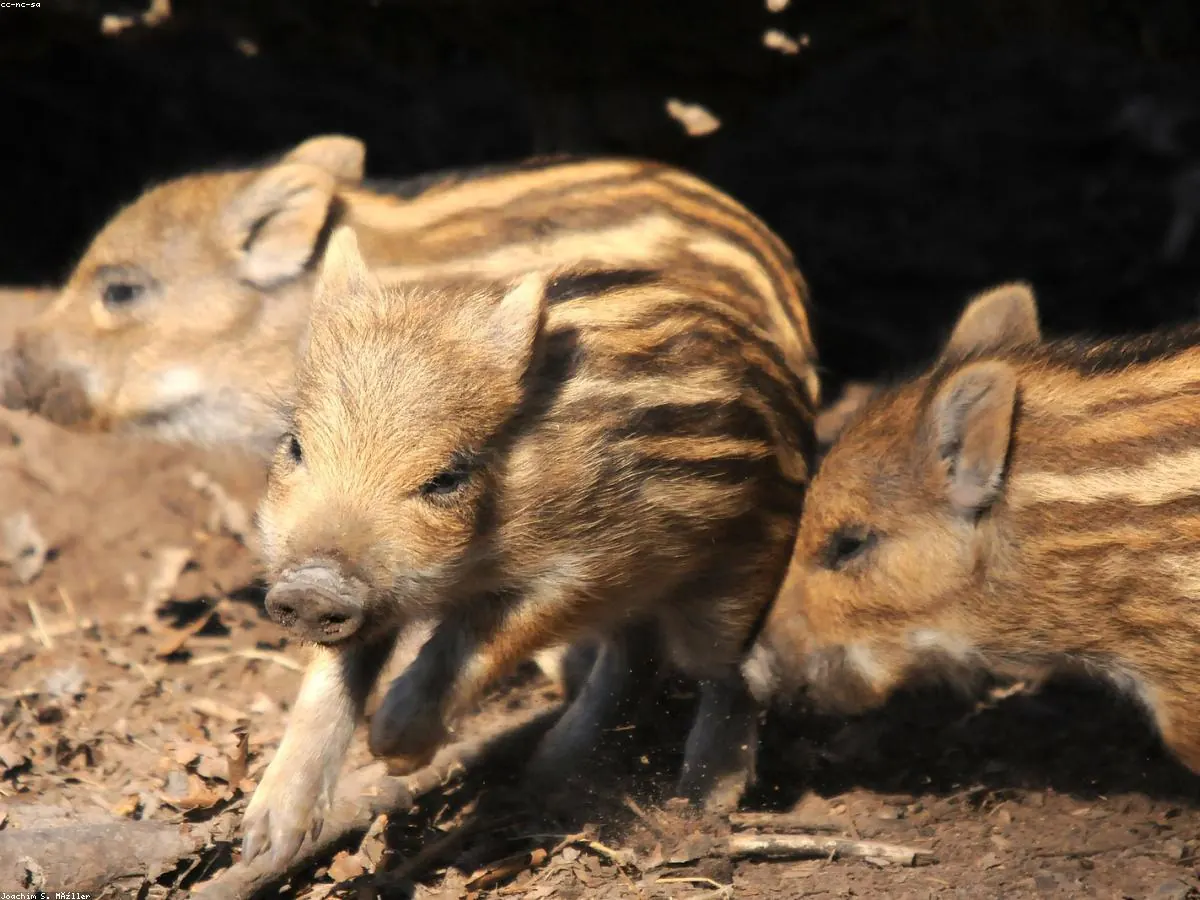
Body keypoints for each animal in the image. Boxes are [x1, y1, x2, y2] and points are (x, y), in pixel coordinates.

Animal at [242, 223, 817, 865]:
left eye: (447, 477)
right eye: (294, 445)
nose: (311, 588)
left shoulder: (588, 567)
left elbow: (479, 640)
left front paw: (393, 747)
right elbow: (331, 681)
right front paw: (263, 842)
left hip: (735, 576)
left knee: (729, 674)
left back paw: (696, 803)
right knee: (633, 658)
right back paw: (546, 771)